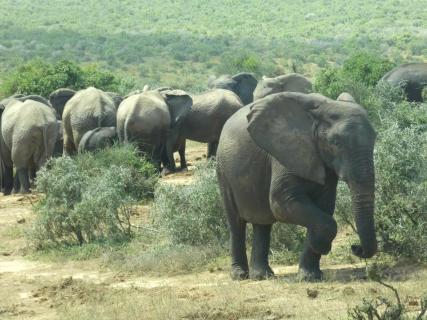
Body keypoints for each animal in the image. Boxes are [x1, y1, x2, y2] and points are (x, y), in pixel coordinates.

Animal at [217, 91, 378, 282]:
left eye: (375, 138)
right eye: (335, 143)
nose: (356, 247)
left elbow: (325, 207)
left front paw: (310, 276)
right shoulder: (285, 151)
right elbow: (281, 203)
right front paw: (321, 246)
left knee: (263, 223)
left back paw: (262, 275)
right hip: (223, 171)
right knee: (236, 224)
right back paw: (240, 275)